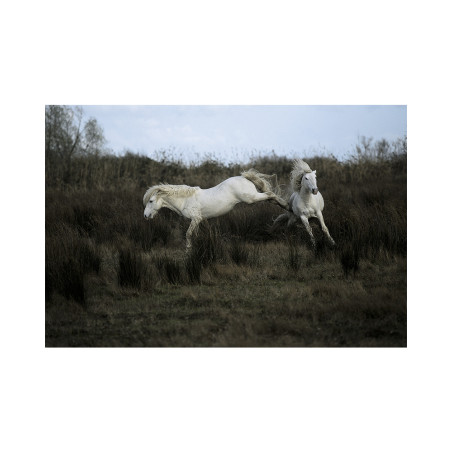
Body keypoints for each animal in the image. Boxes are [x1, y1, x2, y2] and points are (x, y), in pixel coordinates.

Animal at [143, 169, 288, 249]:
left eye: (151, 201)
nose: (145, 216)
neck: (185, 199)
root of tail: (243, 177)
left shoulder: (196, 218)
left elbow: (188, 234)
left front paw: (188, 251)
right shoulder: (199, 221)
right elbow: (195, 234)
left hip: (251, 198)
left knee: (271, 194)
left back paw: (286, 207)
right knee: (271, 197)